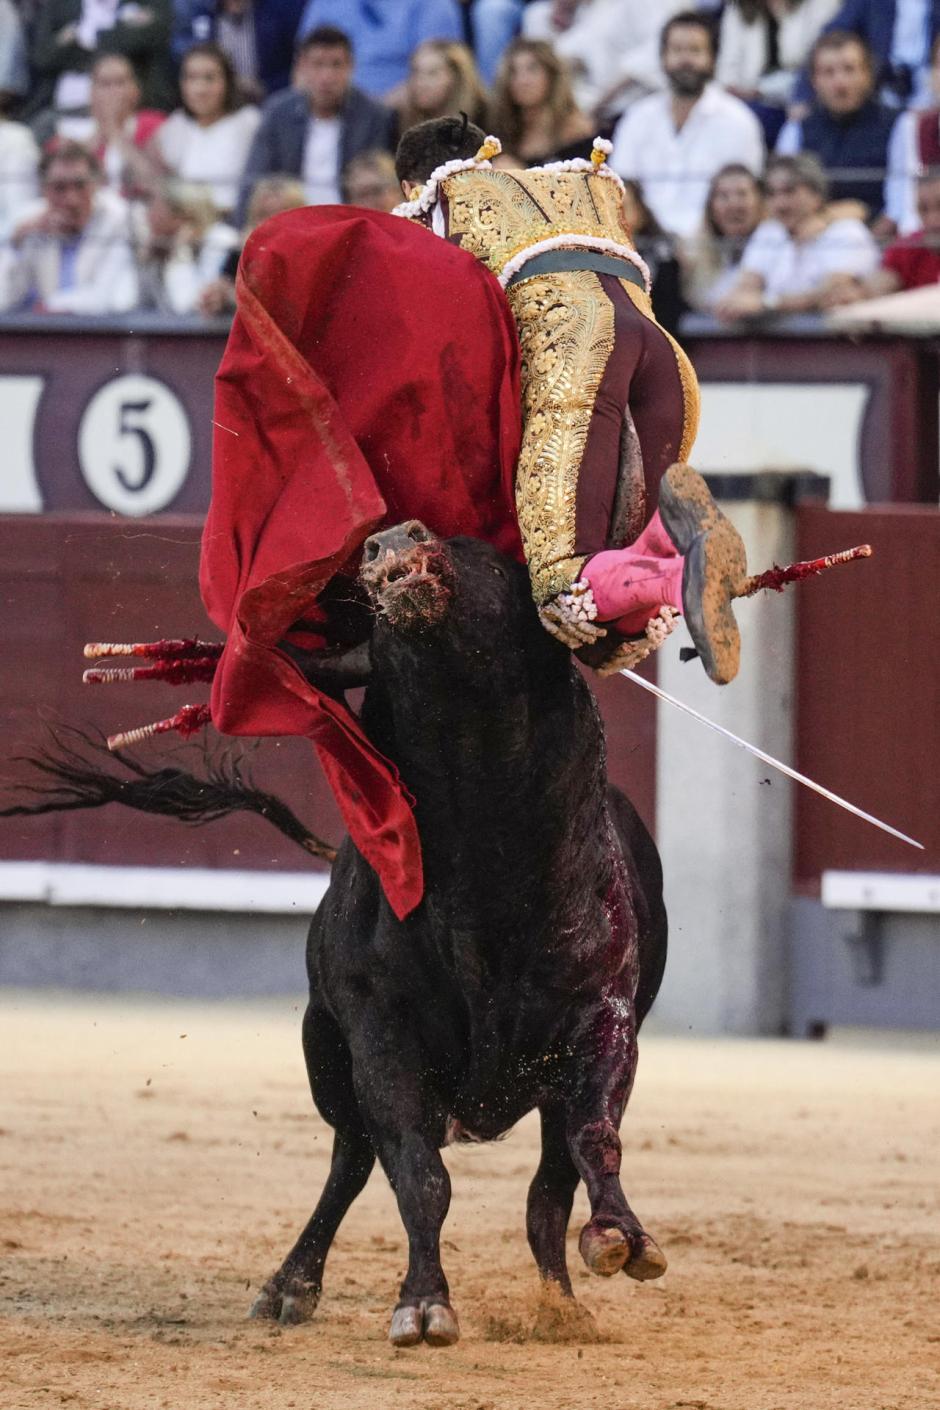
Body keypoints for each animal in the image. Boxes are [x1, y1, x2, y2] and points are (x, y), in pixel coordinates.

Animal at [252, 524, 668, 1347]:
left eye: (495, 564)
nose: (392, 538)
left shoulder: (603, 1014)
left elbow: (595, 1136)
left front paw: (621, 1236)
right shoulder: (379, 1029)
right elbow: (417, 1172)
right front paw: (422, 1303)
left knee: (548, 1186)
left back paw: (562, 1306)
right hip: (326, 1055)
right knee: (352, 1159)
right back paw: (290, 1285)